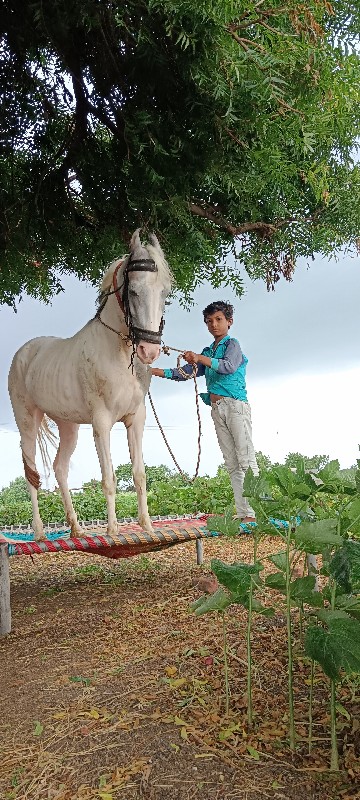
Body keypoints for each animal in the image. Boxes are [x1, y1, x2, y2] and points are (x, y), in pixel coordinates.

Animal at [7, 231, 172, 544]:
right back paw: (39, 532)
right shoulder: (102, 422)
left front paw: (147, 526)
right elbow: (108, 478)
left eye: (165, 294)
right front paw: (113, 530)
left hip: (68, 426)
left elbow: (139, 474)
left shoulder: (136, 419)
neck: (118, 351)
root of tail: (24, 353)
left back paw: (76, 528)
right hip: (27, 422)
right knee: (30, 472)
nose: (149, 351)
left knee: (60, 468)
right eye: (133, 291)